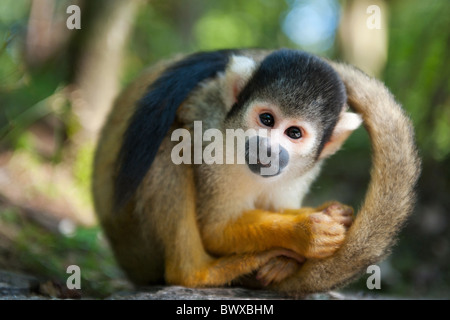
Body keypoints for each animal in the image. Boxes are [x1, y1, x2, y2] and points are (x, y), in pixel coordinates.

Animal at [93, 48, 420, 294]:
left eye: (294, 133)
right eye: (266, 119)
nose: (268, 150)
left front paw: (322, 218)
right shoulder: (213, 136)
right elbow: (215, 229)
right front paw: (304, 233)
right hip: (136, 244)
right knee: (169, 142)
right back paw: (197, 273)